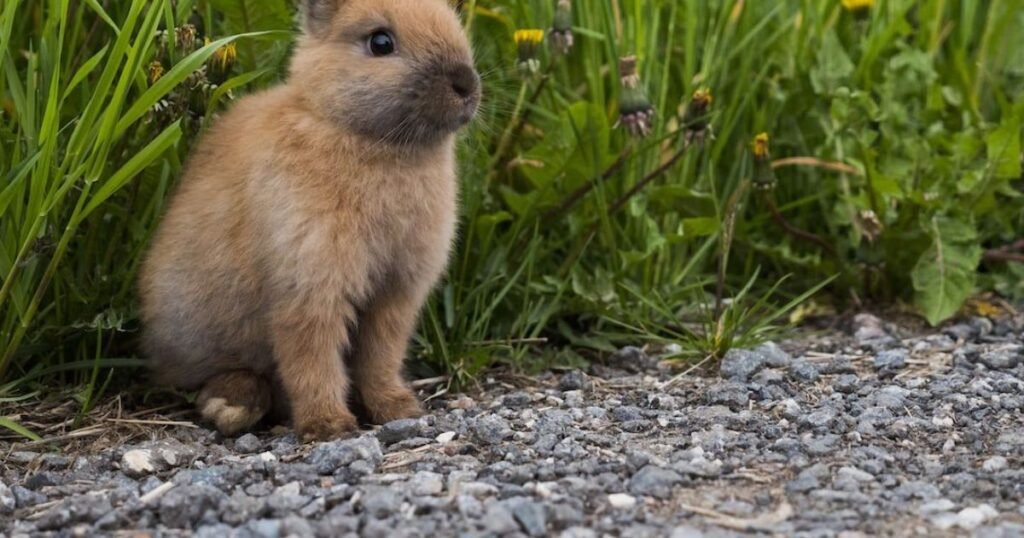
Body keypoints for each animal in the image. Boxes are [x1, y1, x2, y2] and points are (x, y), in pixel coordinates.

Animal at [138, 0, 480, 440]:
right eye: (380, 43)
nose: (466, 84)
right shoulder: (309, 286)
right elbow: (312, 359)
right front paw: (328, 425)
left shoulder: (395, 294)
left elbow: (380, 356)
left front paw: (397, 408)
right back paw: (231, 406)